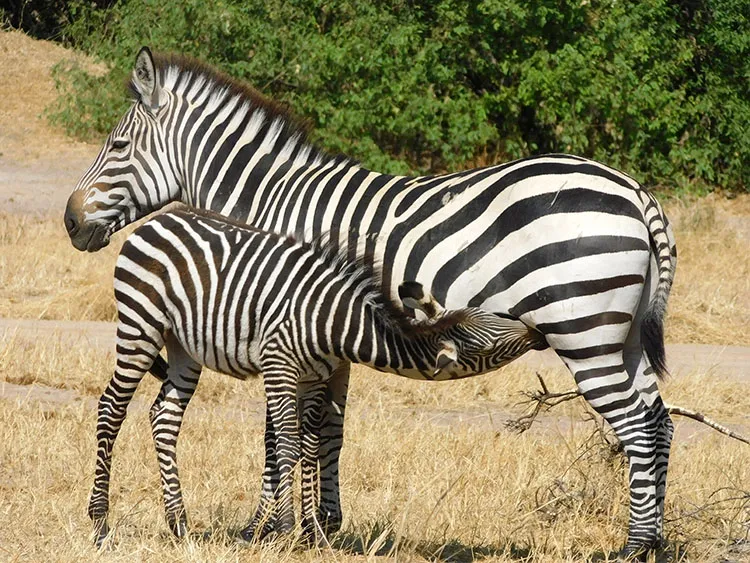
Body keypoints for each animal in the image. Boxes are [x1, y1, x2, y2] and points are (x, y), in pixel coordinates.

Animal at [90, 206, 545, 546]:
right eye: (491, 342)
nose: (539, 330)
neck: (336, 325)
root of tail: (158, 220)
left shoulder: (315, 378)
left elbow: (311, 446)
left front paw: (312, 533)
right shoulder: (280, 365)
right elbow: (288, 445)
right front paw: (287, 529)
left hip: (183, 346)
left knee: (165, 418)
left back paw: (180, 524)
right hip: (141, 325)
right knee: (111, 408)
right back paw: (100, 524)